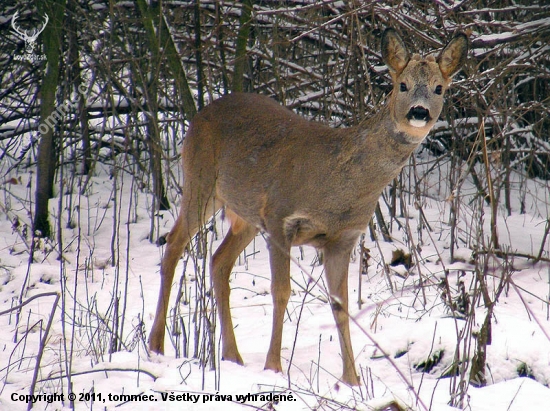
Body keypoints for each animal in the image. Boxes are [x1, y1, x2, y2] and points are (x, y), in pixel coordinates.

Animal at [149, 29, 468, 386]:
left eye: (440, 88)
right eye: (402, 84)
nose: (419, 112)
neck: (338, 185)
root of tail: (202, 112)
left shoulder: (343, 239)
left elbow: (341, 304)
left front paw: (351, 380)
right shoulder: (280, 217)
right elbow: (281, 291)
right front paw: (274, 367)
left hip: (245, 213)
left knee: (218, 260)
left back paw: (232, 356)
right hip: (200, 180)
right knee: (174, 243)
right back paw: (156, 346)